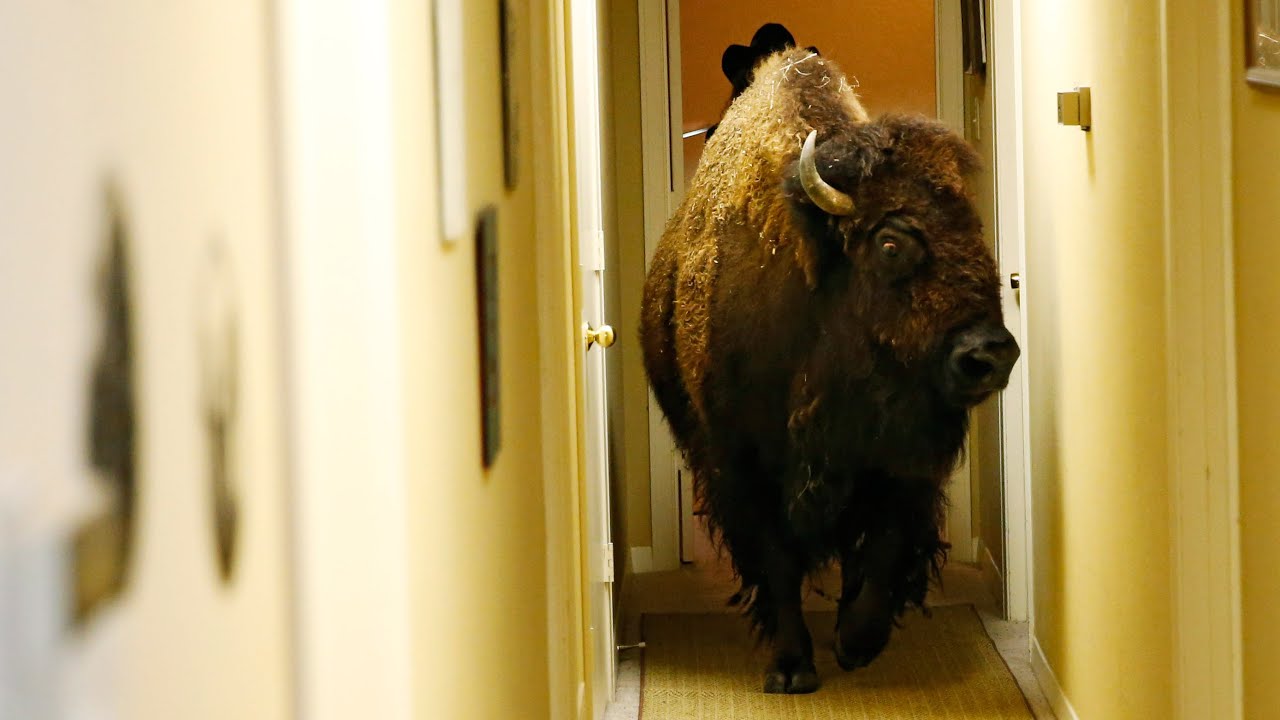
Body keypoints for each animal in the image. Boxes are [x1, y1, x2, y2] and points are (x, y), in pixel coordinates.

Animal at [640, 48, 1019, 694]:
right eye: (890, 243)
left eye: (974, 230)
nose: (990, 355)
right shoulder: (743, 463)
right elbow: (777, 561)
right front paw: (793, 666)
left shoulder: (902, 463)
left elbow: (886, 545)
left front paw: (856, 642)